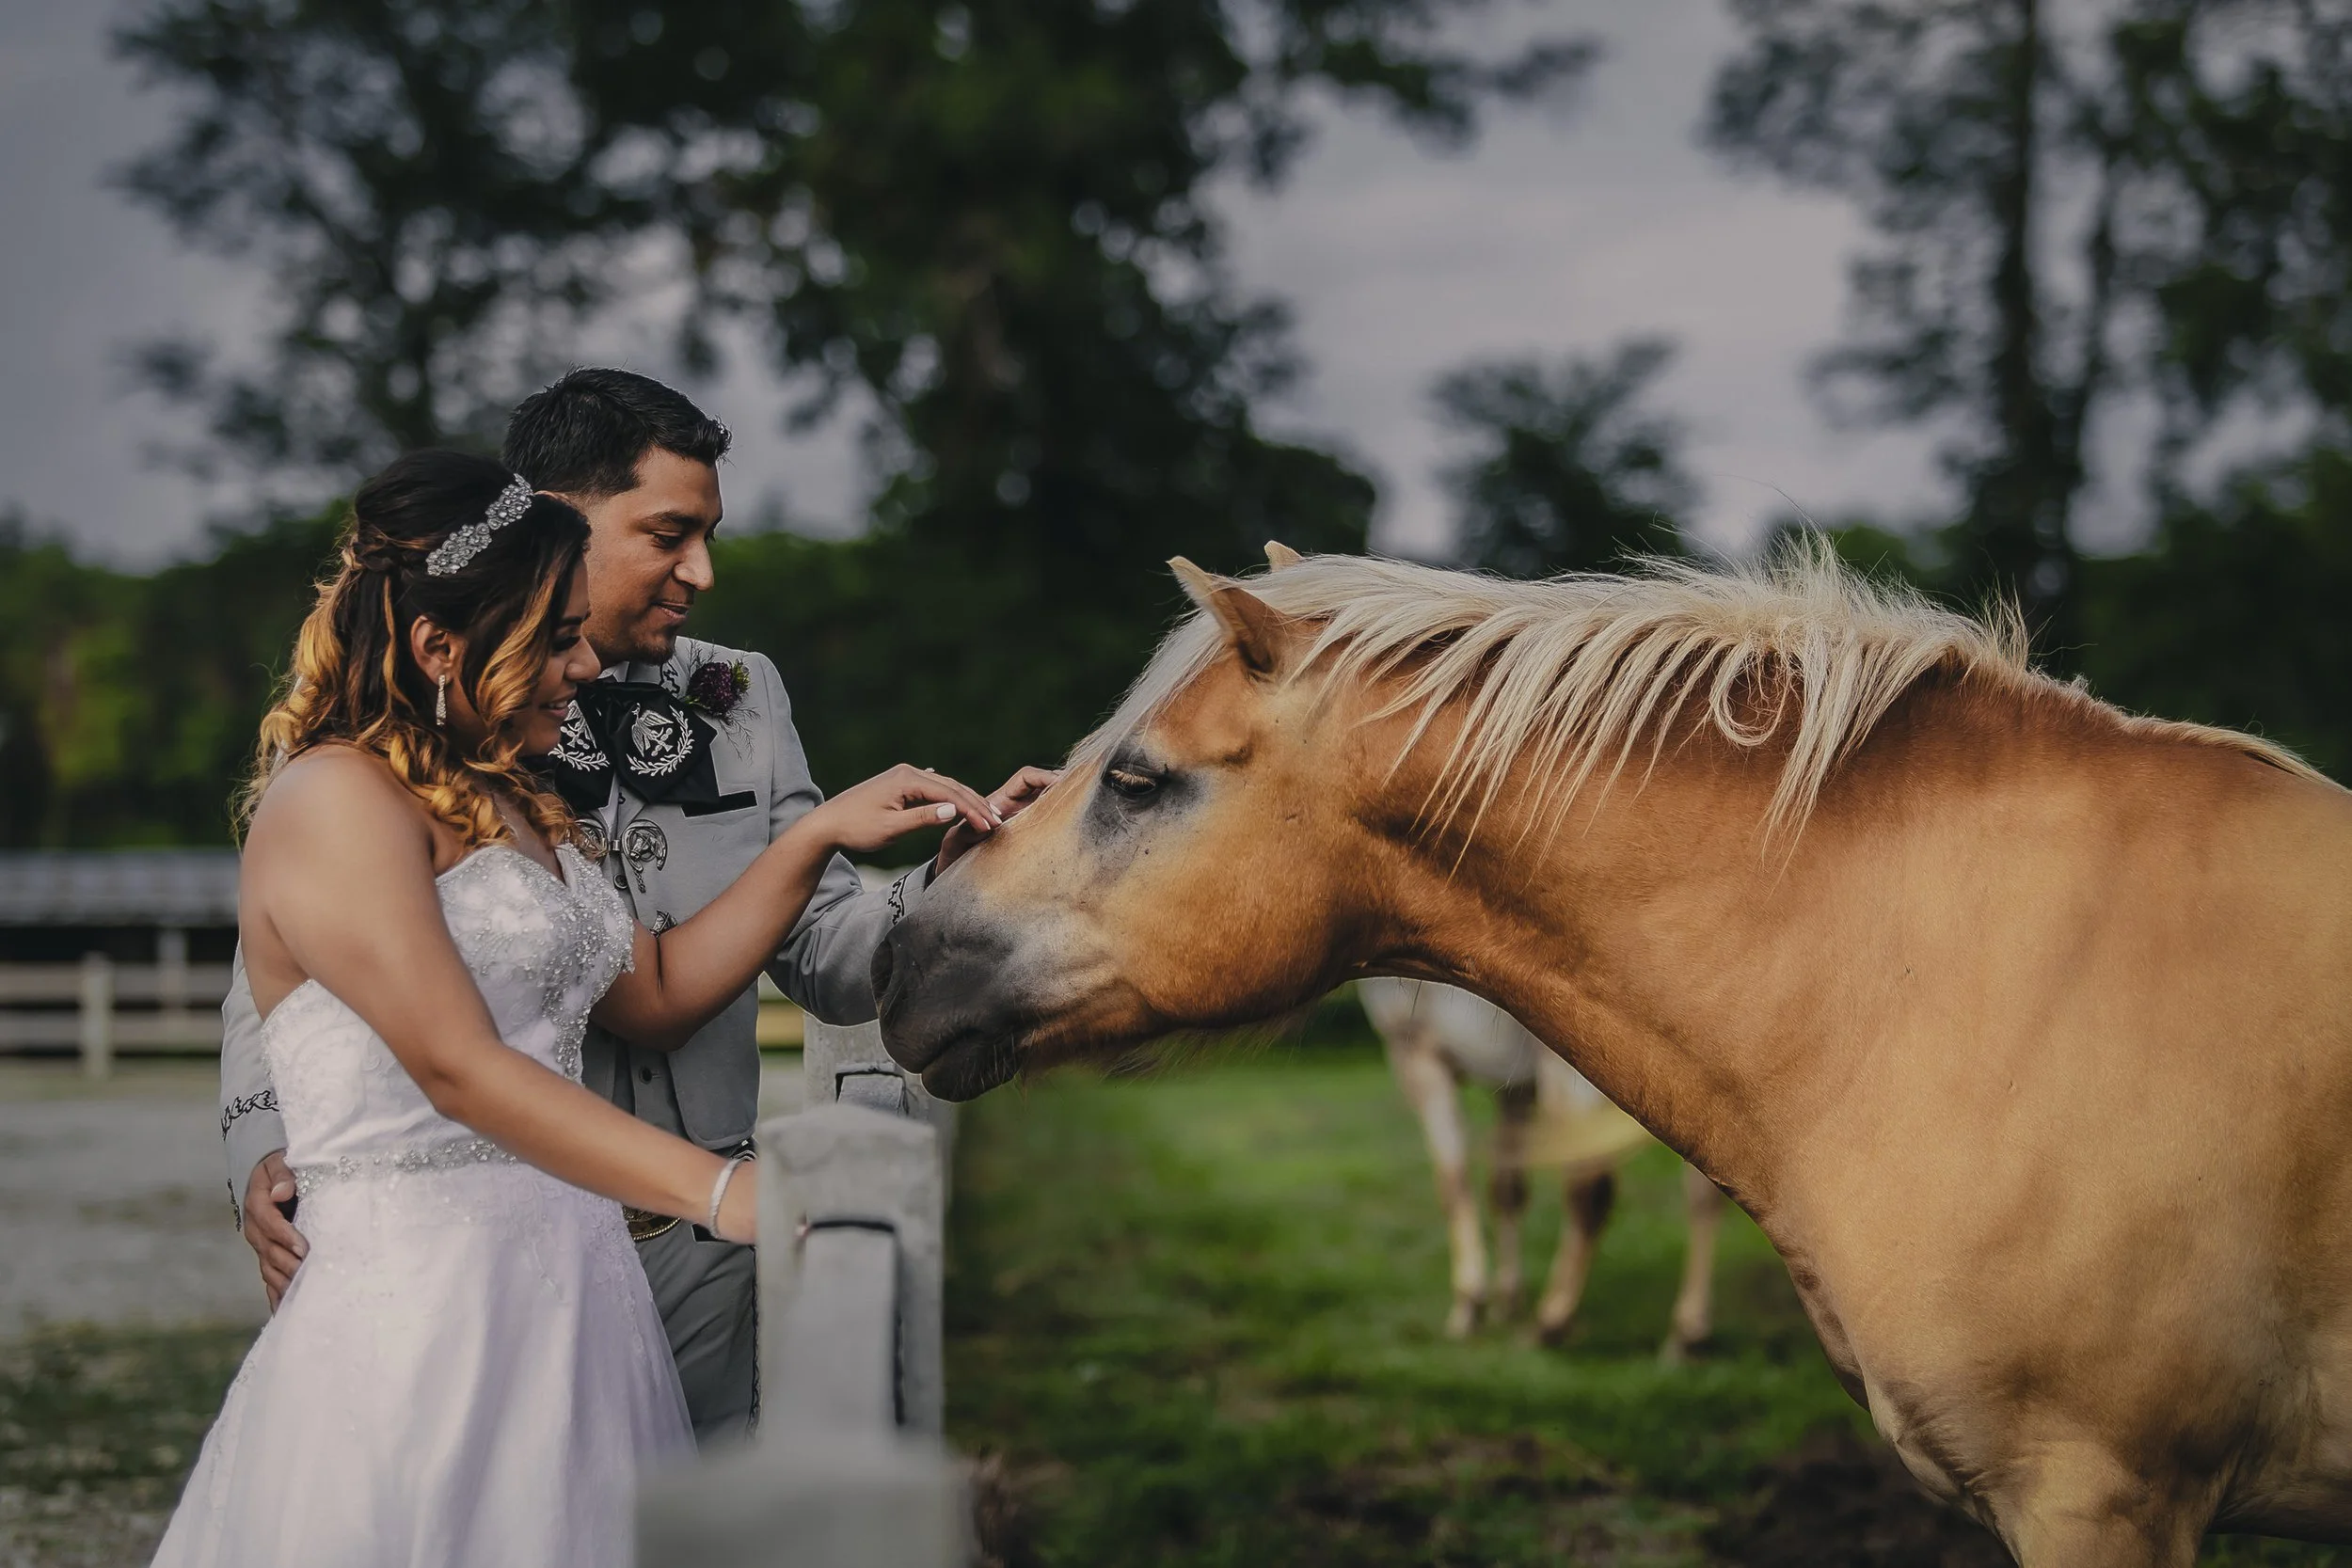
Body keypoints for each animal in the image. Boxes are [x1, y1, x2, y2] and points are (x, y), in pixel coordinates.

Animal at [1358, 976, 1725, 1354]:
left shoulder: (1417, 1055)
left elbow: (1453, 1182)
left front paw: (1470, 1302)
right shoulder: (1515, 1087)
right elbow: (1507, 1190)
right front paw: (1508, 1298)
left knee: (1589, 1192)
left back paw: (1552, 1320)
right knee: (1704, 1192)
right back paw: (1687, 1332)